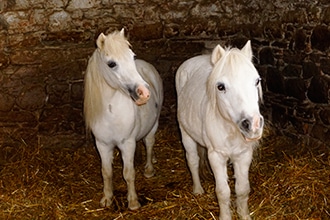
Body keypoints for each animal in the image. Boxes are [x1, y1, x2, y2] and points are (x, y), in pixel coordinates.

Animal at [84, 28, 163, 210]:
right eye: (111, 64)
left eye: (132, 56)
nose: (144, 92)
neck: (111, 113)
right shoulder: (102, 145)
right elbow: (106, 172)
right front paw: (107, 198)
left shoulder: (127, 144)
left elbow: (128, 173)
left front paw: (133, 202)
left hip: (153, 126)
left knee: (149, 143)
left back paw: (149, 169)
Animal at [177, 41, 264, 220]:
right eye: (221, 86)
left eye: (257, 81)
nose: (253, 125)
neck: (229, 129)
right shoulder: (216, 157)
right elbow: (223, 192)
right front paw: (225, 216)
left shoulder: (244, 155)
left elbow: (242, 189)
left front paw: (244, 214)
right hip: (185, 133)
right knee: (193, 160)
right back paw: (198, 190)